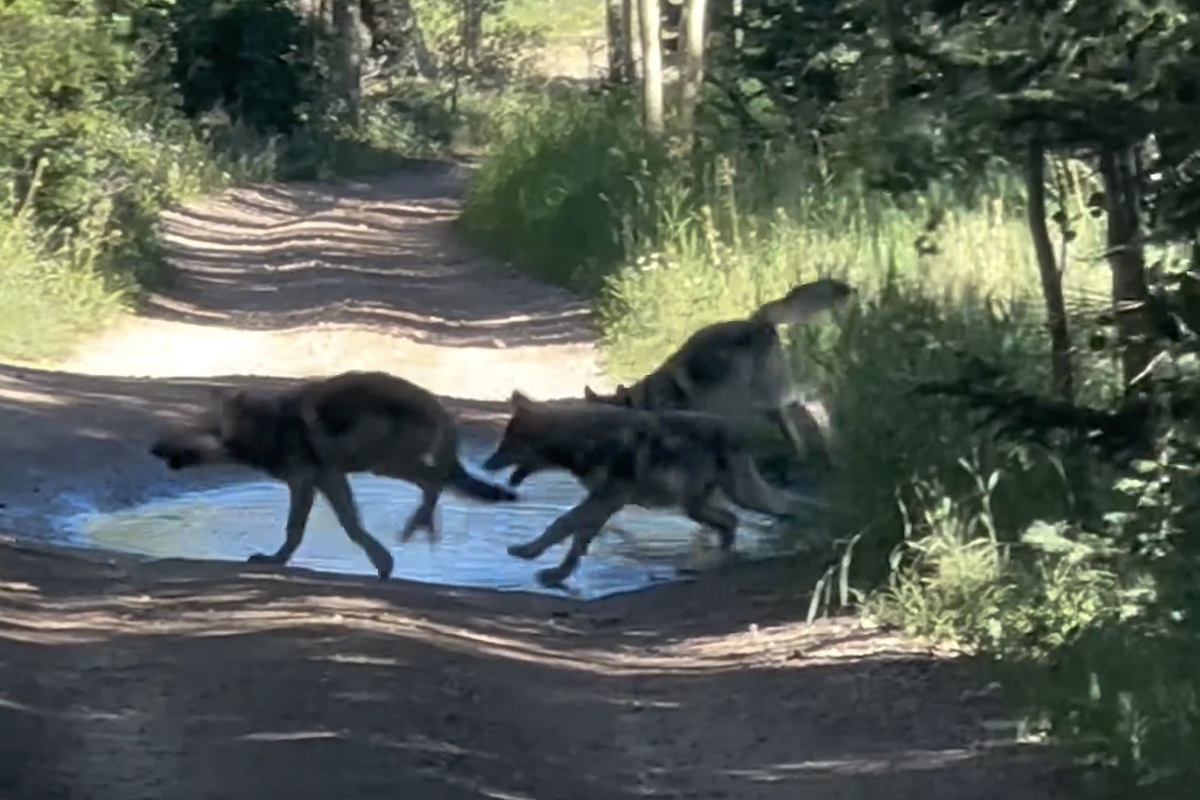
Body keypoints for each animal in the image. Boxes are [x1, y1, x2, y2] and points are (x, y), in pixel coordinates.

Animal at [148, 369, 520, 582]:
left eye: (184, 430)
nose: (152, 449)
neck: (263, 426)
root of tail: (438, 406)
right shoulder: (327, 479)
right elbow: (350, 526)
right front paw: (381, 561)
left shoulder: (306, 481)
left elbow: (301, 529)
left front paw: (275, 561)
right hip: (385, 464)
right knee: (437, 483)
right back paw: (423, 522)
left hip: (387, 462)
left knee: (436, 482)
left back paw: (421, 521)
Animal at [477, 393, 806, 587]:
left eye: (507, 445)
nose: (483, 464)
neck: (583, 440)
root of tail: (738, 429)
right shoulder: (602, 502)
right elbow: (577, 539)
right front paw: (558, 573)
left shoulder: (607, 499)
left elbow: (563, 523)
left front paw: (528, 551)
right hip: (695, 507)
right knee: (732, 521)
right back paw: (720, 557)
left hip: (733, 498)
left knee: (784, 507)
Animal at [580, 277, 854, 460]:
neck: (645, 403)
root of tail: (759, 320)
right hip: (770, 405)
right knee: (800, 427)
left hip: (773, 395)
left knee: (818, 402)